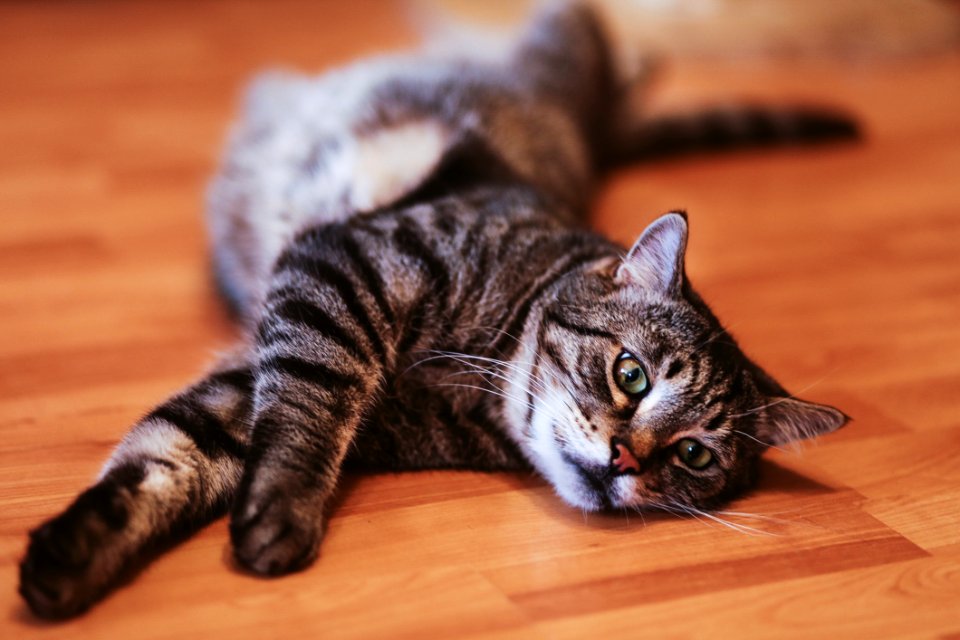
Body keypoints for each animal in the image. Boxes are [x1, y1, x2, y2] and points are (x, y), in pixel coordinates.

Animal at [18, 1, 852, 620]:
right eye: (631, 375)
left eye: (695, 457)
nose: (625, 462)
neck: (475, 387)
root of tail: (594, 140)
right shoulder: (342, 269)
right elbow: (304, 412)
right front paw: (285, 509)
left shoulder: (261, 380)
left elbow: (170, 455)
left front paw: (73, 557)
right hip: (563, 38)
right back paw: (642, 62)